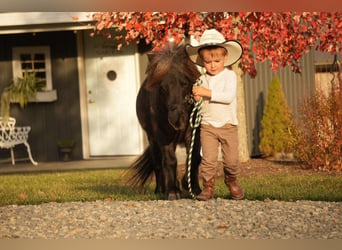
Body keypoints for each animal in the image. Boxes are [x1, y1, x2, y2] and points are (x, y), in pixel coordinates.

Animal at [130, 42, 202, 199]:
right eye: (162, 87)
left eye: (185, 83)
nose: (176, 119)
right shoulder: (163, 136)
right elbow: (170, 161)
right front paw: (173, 192)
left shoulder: (192, 133)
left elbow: (193, 157)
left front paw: (193, 187)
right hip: (153, 140)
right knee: (158, 164)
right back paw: (161, 190)